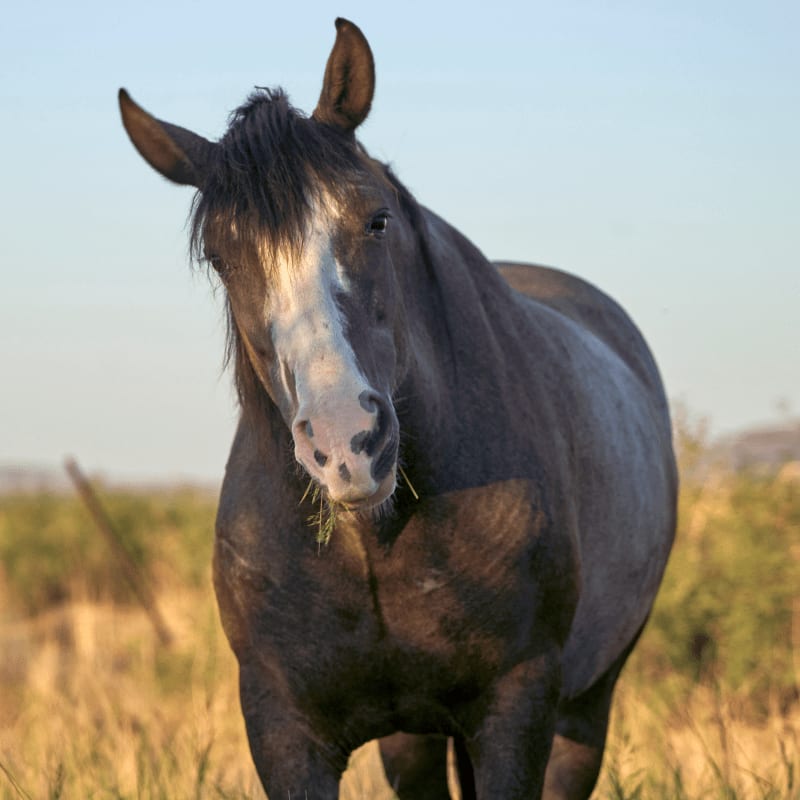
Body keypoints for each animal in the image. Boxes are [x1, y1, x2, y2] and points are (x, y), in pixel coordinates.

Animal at [119, 18, 677, 800]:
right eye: (222, 258)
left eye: (376, 221)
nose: (347, 444)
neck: (372, 542)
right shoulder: (284, 730)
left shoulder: (516, 712)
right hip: (414, 738)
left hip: (583, 713)